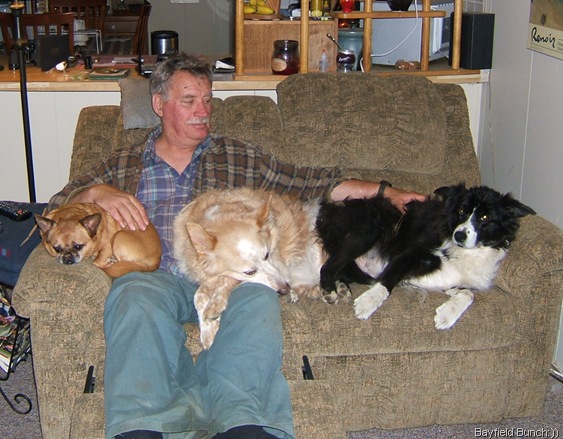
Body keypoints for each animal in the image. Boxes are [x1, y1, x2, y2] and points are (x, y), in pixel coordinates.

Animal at [173, 187, 323, 349]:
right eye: (250, 272)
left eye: (267, 254)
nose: (285, 289)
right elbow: (199, 295)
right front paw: (208, 331)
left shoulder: (278, 265)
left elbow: (225, 281)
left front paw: (215, 306)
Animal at [316, 183, 536, 329]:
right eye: (461, 210)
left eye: (484, 217)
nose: (459, 235)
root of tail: (329, 210)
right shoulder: (410, 254)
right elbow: (387, 281)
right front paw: (368, 302)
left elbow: (468, 293)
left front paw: (447, 315)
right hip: (366, 232)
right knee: (328, 268)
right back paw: (333, 291)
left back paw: (341, 288)